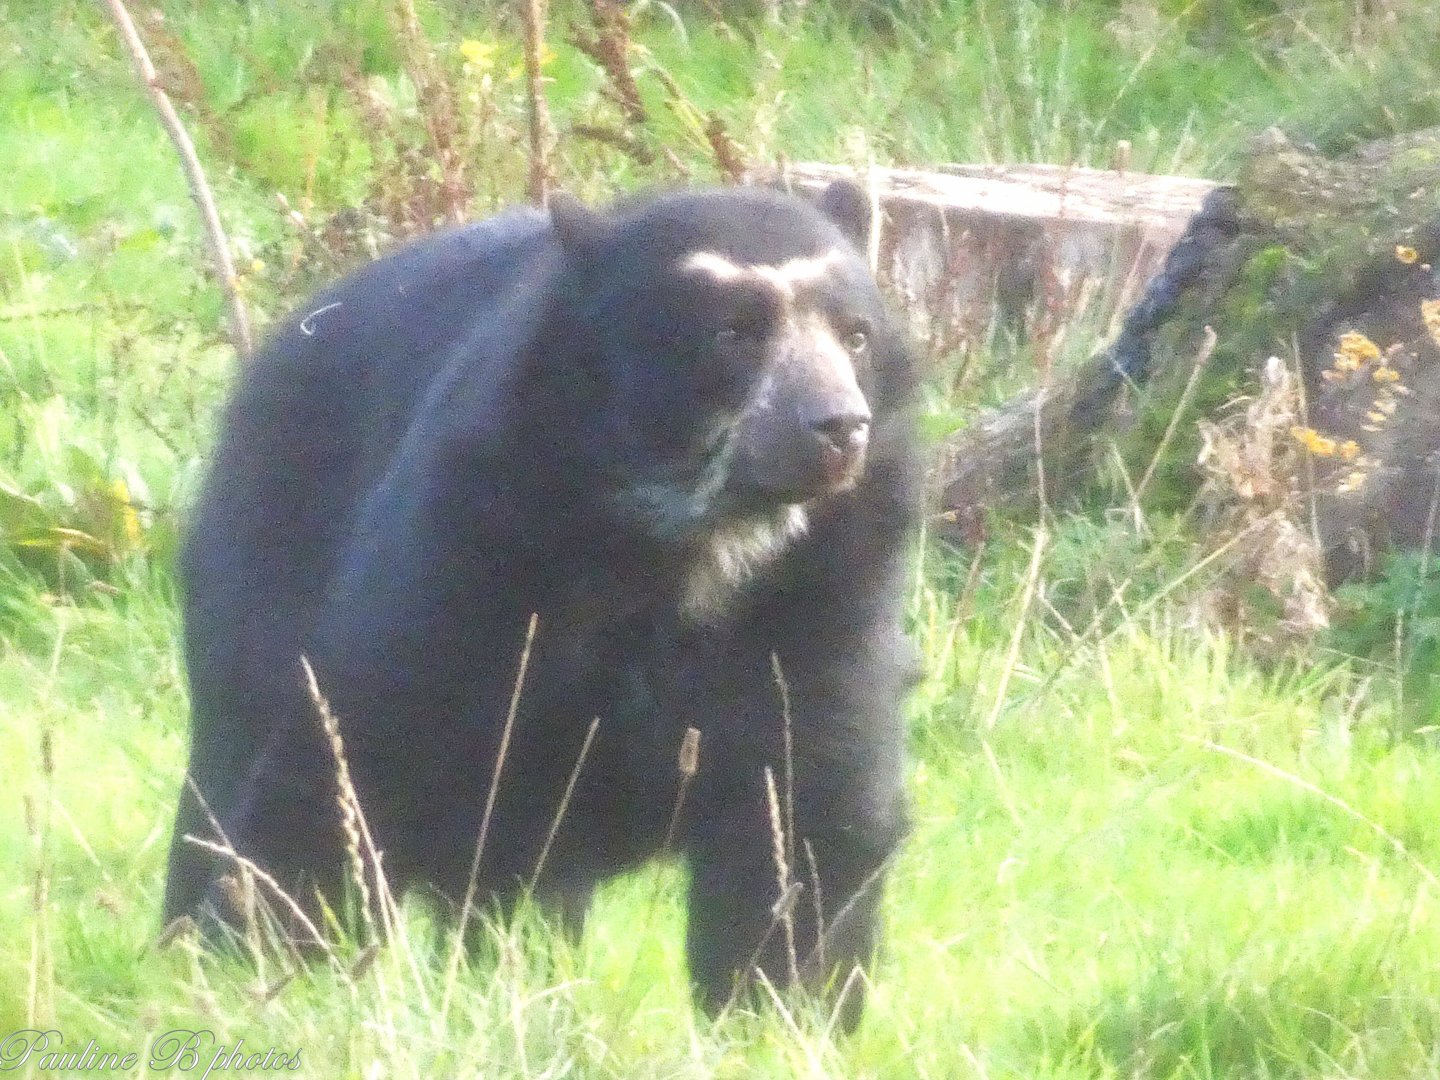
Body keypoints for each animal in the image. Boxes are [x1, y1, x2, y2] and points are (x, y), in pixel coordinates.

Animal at [164, 180, 922, 1027]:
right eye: (733, 332)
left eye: (857, 337)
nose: (837, 426)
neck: (691, 539)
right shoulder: (476, 542)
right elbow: (360, 743)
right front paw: (266, 960)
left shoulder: (832, 589)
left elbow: (811, 803)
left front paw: (789, 1009)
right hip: (264, 553)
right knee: (234, 745)